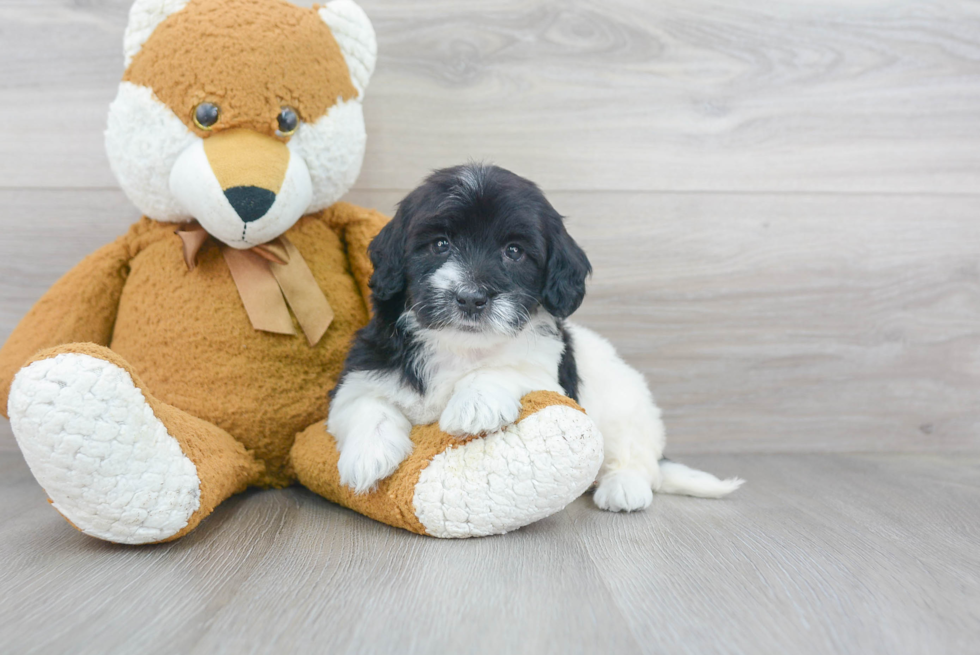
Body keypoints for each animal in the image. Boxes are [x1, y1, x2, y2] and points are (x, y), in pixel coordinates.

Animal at [326, 164, 740, 512]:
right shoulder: (365, 370)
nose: (471, 297)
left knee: (637, 457)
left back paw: (624, 487)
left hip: (626, 408)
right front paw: (367, 455)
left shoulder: (548, 376)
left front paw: (475, 402)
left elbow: (506, 368)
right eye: (441, 244)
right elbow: (365, 404)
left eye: (514, 251)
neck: (462, 346)